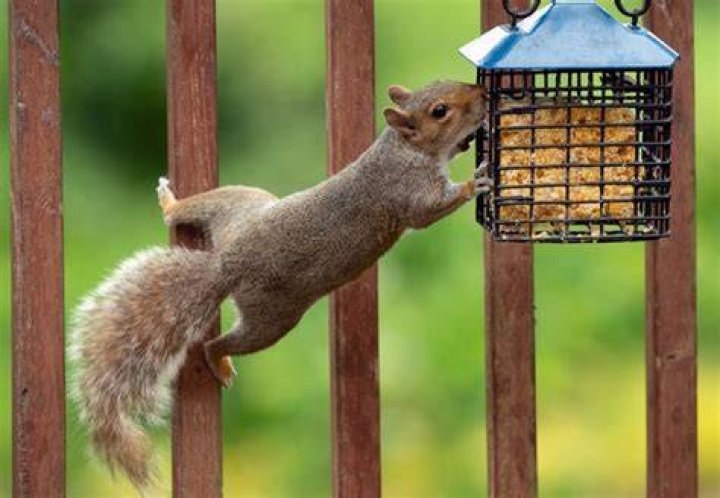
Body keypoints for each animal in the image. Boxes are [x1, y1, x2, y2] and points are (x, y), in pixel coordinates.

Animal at [69, 80, 490, 491]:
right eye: (440, 110)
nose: (482, 93)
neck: (403, 149)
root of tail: (227, 264)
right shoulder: (409, 191)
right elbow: (427, 212)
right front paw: (476, 182)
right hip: (272, 318)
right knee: (216, 343)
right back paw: (218, 362)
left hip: (239, 203)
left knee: (186, 213)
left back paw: (170, 203)